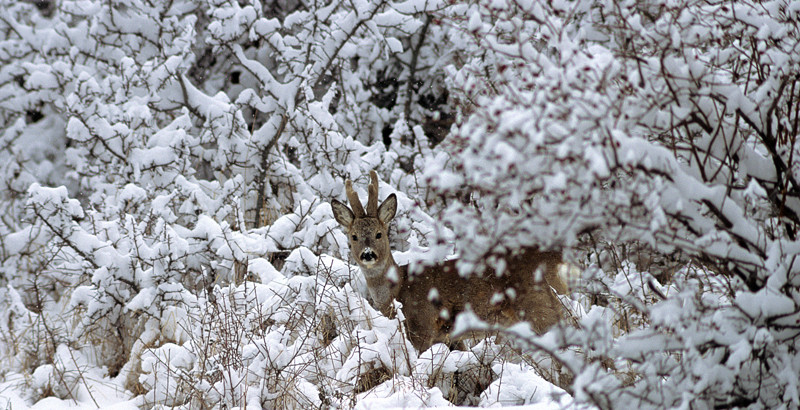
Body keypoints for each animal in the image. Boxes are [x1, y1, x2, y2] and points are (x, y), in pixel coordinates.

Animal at [332, 171, 568, 350]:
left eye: (379, 234)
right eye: (353, 236)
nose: (368, 254)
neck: (397, 290)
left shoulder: (422, 327)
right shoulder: (449, 338)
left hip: (540, 307)